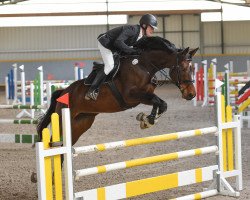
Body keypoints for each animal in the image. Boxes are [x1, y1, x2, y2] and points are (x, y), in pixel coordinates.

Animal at [37, 36, 198, 145]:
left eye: (192, 69)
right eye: (183, 68)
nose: (191, 94)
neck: (144, 65)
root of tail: (64, 91)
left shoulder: (144, 95)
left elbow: (161, 103)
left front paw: (147, 120)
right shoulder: (131, 96)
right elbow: (159, 101)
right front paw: (147, 120)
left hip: (81, 122)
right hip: (62, 119)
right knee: (53, 144)